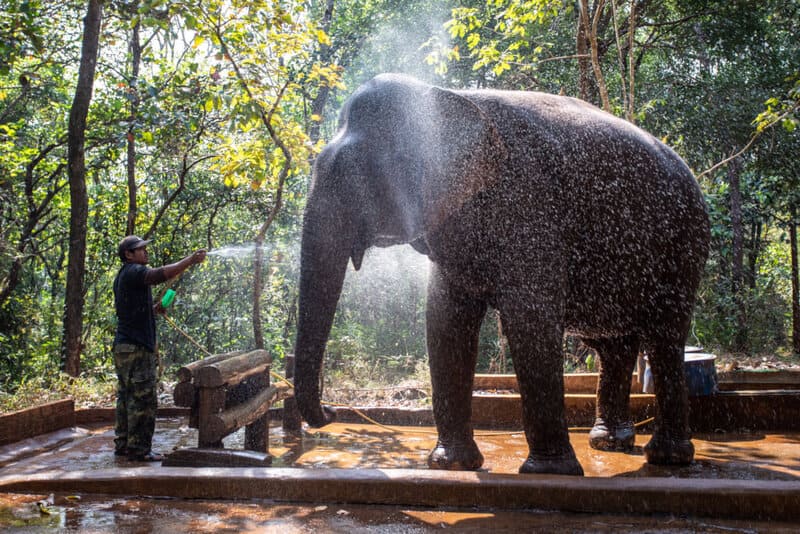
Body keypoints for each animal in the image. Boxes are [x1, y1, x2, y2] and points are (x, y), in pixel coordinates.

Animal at [290, 72, 708, 478]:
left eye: (358, 179)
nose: (329, 414)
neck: (445, 97)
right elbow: (445, 321)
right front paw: (452, 465)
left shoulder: (528, 203)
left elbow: (529, 321)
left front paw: (547, 473)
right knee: (612, 345)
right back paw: (609, 444)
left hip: (682, 248)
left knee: (664, 338)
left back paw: (666, 458)